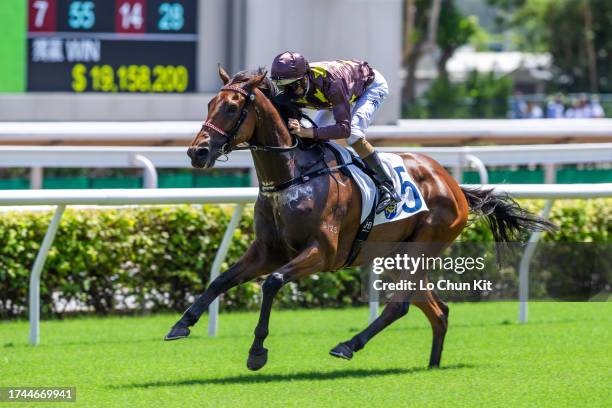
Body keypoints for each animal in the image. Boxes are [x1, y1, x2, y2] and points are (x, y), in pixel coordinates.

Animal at [165, 68, 552, 372]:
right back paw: (432, 365)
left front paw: (257, 351)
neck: (293, 176)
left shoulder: (323, 252)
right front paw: (181, 324)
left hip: (421, 247)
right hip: (397, 256)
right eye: (209, 105)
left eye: (232, 107)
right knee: (436, 309)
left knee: (400, 304)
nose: (197, 151)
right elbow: (220, 280)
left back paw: (348, 345)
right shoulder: (268, 250)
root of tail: (453, 184)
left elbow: (272, 283)